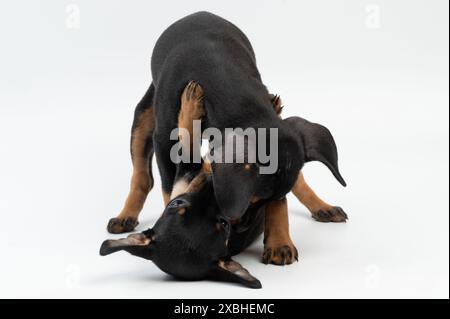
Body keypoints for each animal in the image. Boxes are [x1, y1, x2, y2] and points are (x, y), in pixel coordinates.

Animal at [101, 11, 348, 290]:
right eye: (177, 204)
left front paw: (279, 242)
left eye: (256, 202)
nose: (240, 225)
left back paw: (322, 206)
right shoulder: (164, 140)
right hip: (144, 120)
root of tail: (199, 13)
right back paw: (125, 215)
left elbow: (283, 196)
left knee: (299, 179)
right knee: (142, 176)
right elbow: (168, 181)